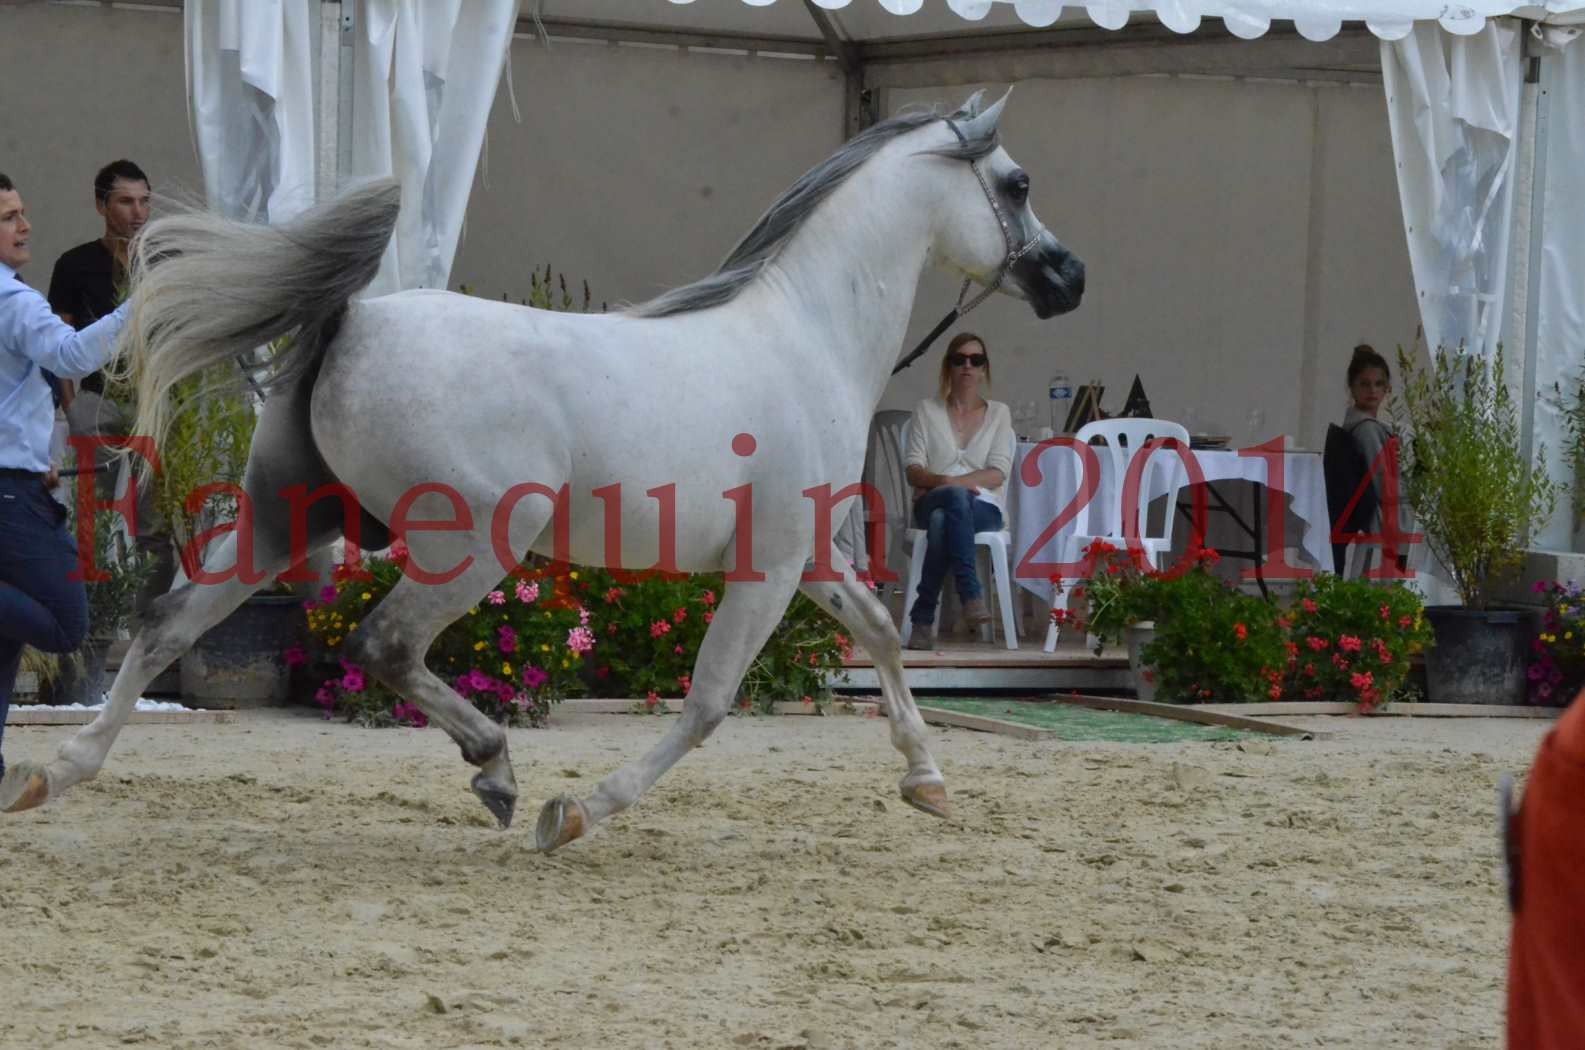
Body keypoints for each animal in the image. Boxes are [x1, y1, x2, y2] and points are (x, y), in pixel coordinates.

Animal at [0, 88, 1084, 850]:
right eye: (1019, 184)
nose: (1067, 277)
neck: (804, 337)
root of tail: (352, 320)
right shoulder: (768, 568)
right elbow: (708, 702)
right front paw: (578, 813)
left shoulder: (809, 558)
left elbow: (884, 638)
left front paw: (927, 781)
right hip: (475, 545)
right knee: (384, 644)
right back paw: (497, 771)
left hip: (283, 520)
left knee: (165, 624)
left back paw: (57, 770)